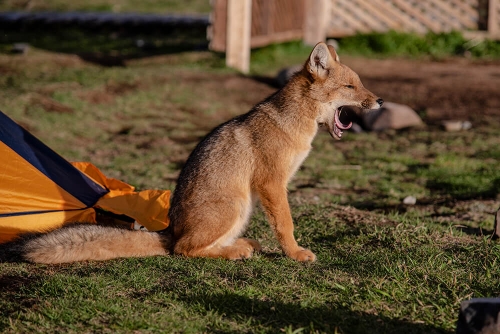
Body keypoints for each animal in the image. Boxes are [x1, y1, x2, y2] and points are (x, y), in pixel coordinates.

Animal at [0, 42, 382, 264]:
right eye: (350, 86)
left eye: (361, 83)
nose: (379, 101)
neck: (294, 121)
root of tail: (169, 230)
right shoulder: (272, 184)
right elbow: (286, 225)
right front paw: (296, 254)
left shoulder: (273, 187)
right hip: (235, 203)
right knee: (184, 251)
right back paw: (235, 251)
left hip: (242, 207)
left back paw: (241, 245)